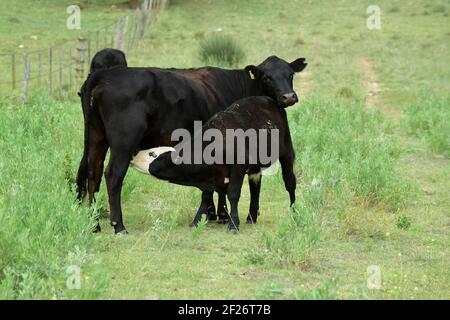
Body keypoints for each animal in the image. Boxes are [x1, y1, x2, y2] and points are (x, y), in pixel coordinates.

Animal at [76, 56, 306, 234]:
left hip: (96, 139)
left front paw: (215, 214)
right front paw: (220, 215)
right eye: (267, 77)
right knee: (113, 176)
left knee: (94, 175)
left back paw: (94, 224)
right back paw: (119, 226)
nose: (288, 97)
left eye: (290, 74)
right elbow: (220, 187)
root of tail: (104, 75)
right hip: (123, 144)